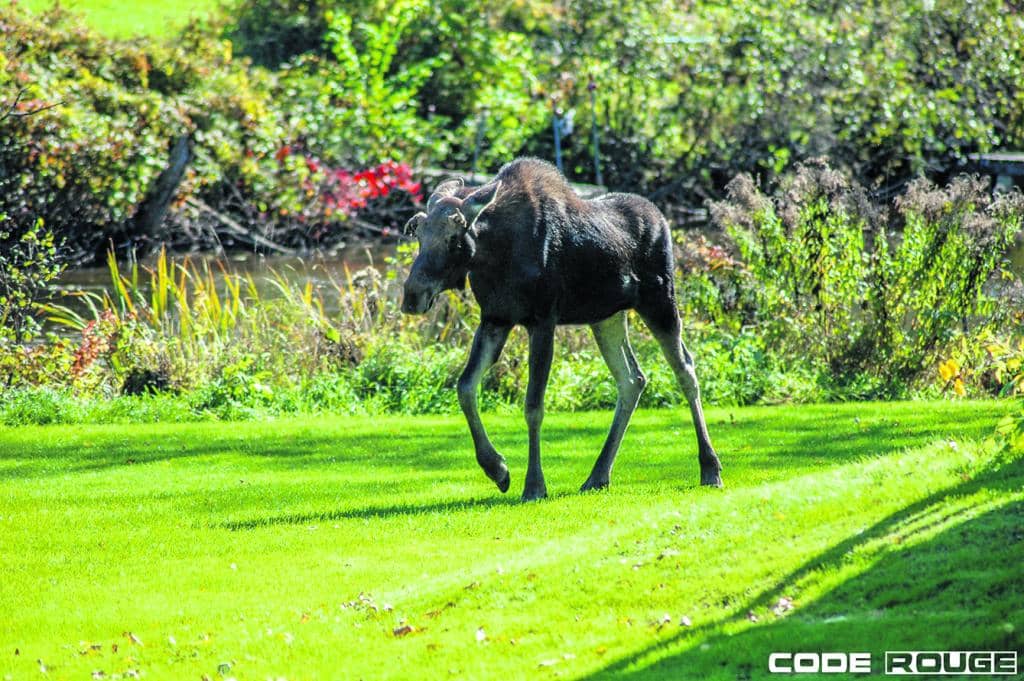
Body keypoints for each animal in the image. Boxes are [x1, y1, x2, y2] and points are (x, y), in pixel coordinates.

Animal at [399, 159, 720, 499]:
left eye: (453, 237)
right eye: (419, 235)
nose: (412, 296)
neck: (494, 256)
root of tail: (663, 219)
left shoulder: (542, 321)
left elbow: (533, 406)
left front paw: (534, 484)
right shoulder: (495, 319)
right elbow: (465, 387)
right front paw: (497, 469)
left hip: (660, 302)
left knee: (685, 370)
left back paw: (710, 468)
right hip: (606, 317)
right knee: (633, 378)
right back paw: (598, 475)